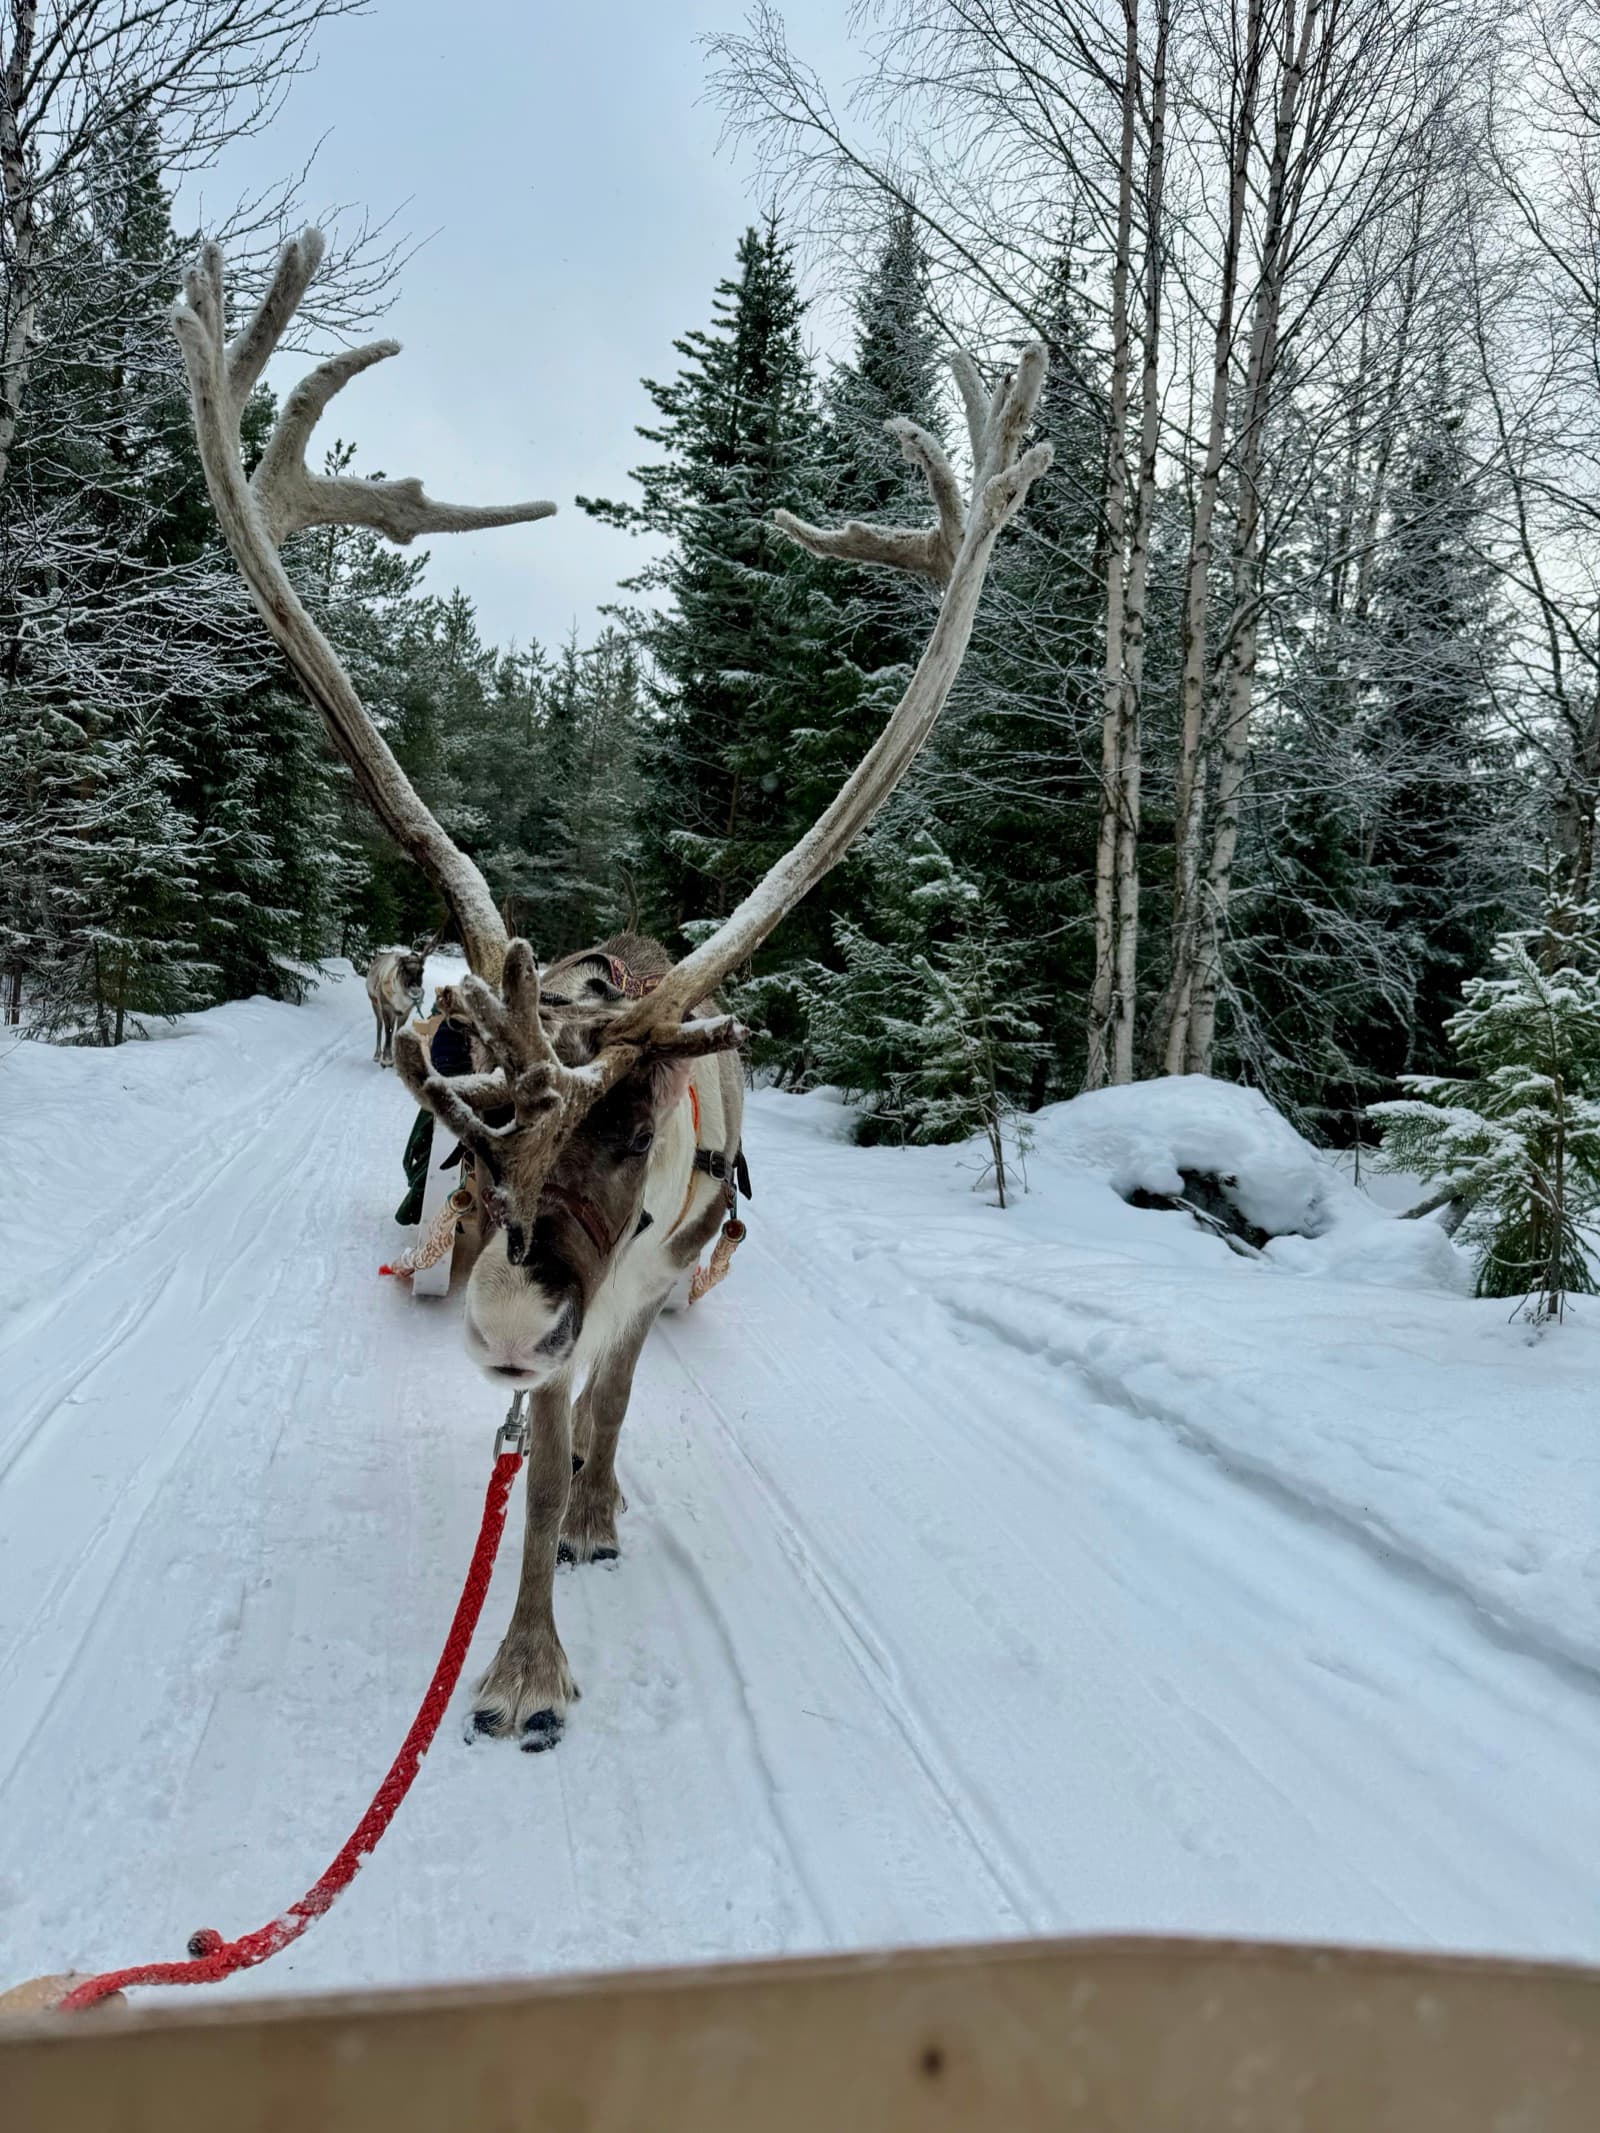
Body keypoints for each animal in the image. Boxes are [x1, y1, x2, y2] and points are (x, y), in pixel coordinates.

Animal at [171, 229, 1050, 1750]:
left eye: (634, 1129)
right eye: (470, 1136)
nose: (507, 1324)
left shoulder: (636, 1280)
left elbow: (605, 1416)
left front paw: (565, 1576)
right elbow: (530, 1457)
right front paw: (523, 1656)